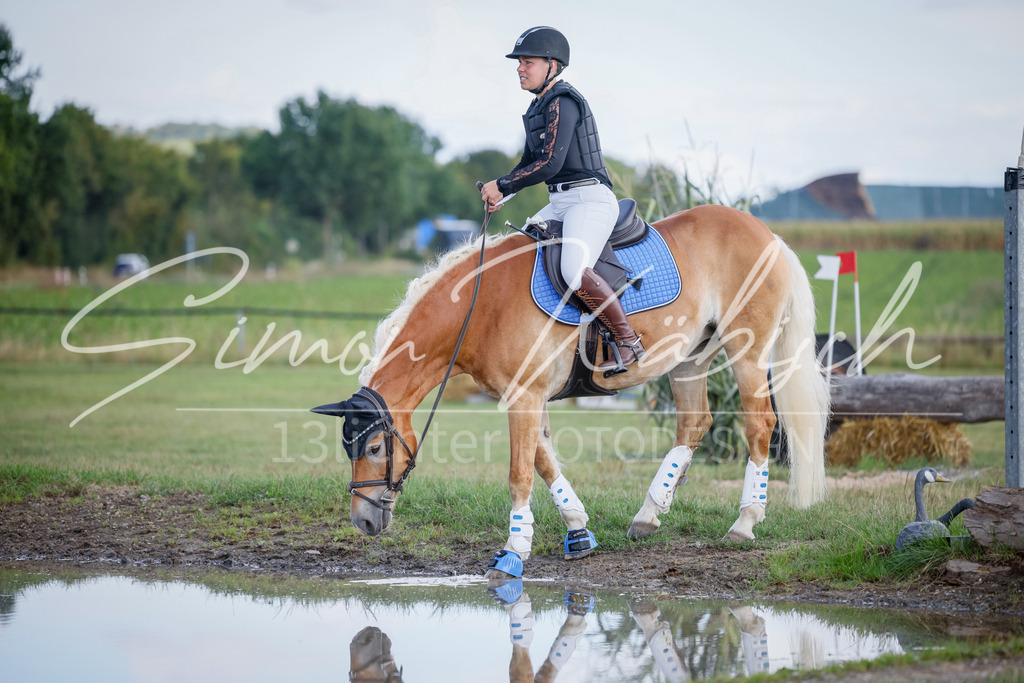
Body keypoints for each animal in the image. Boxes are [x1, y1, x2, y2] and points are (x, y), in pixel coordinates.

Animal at [313, 203, 830, 579]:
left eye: (375, 448)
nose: (363, 520)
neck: (481, 307)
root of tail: (769, 235)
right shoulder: (526, 397)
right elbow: (545, 462)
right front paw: (578, 531)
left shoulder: (523, 397)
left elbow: (521, 473)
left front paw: (513, 550)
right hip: (689, 359)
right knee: (694, 422)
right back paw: (649, 514)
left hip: (747, 352)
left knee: (759, 425)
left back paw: (745, 522)